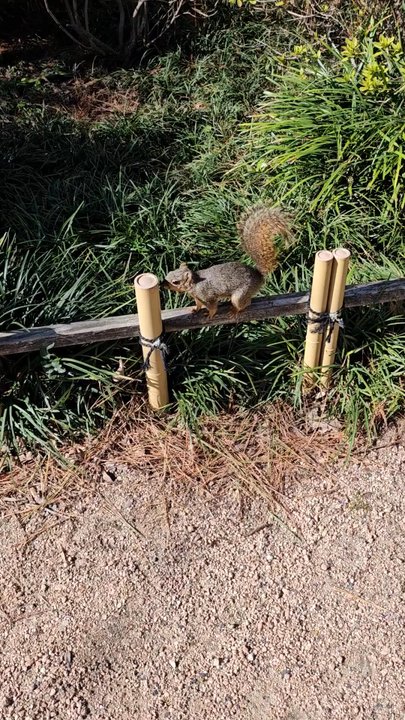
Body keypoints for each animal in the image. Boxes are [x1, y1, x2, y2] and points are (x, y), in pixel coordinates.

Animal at [162, 205, 293, 319]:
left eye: (175, 282)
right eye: (169, 273)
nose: (162, 284)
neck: (194, 283)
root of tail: (259, 276)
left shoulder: (207, 296)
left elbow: (213, 307)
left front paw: (210, 315)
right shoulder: (197, 297)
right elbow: (198, 304)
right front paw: (195, 309)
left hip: (240, 294)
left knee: (246, 303)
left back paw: (235, 311)